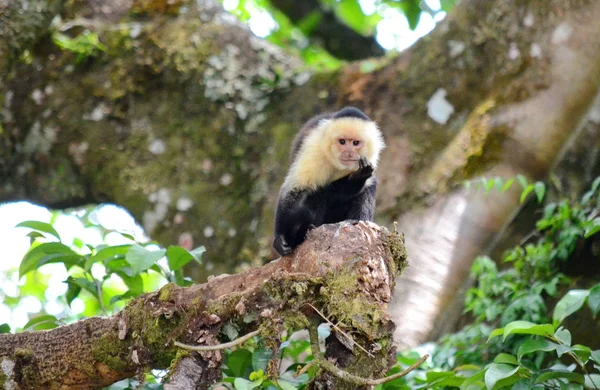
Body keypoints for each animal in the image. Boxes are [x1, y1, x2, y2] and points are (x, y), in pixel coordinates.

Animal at [272, 106, 384, 256]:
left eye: (355, 143)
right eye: (342, 142)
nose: (348, 153)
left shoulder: (370, 158)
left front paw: (358, 177)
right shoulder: (314, 149)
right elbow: (293, 191)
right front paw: (281, 239)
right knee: (317, 193)